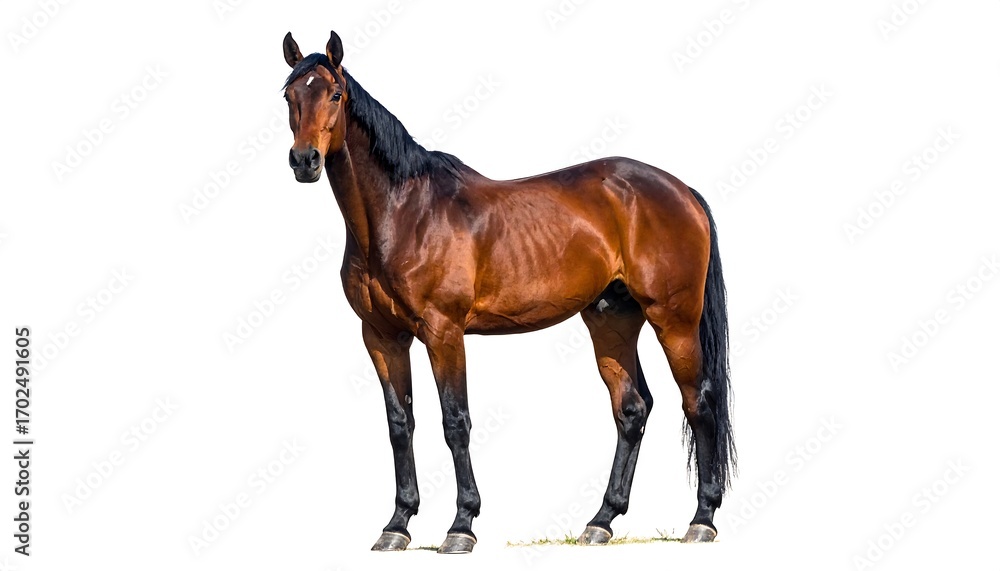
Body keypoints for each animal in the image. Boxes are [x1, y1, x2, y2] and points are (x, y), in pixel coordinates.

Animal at [280, 31, 736, 554]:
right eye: (289, 96)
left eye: (335, 94)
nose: (305, 161)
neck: (402, 213)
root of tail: (682, 191)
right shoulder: (381, 336)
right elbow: (400, 425)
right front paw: (396, 525)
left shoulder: (443, 333)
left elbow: (455, 422)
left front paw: (462, 525)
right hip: (611, 320)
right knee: (632, 409)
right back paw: (600, 521)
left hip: (674, 320)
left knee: (699, 402)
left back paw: (701, 520)